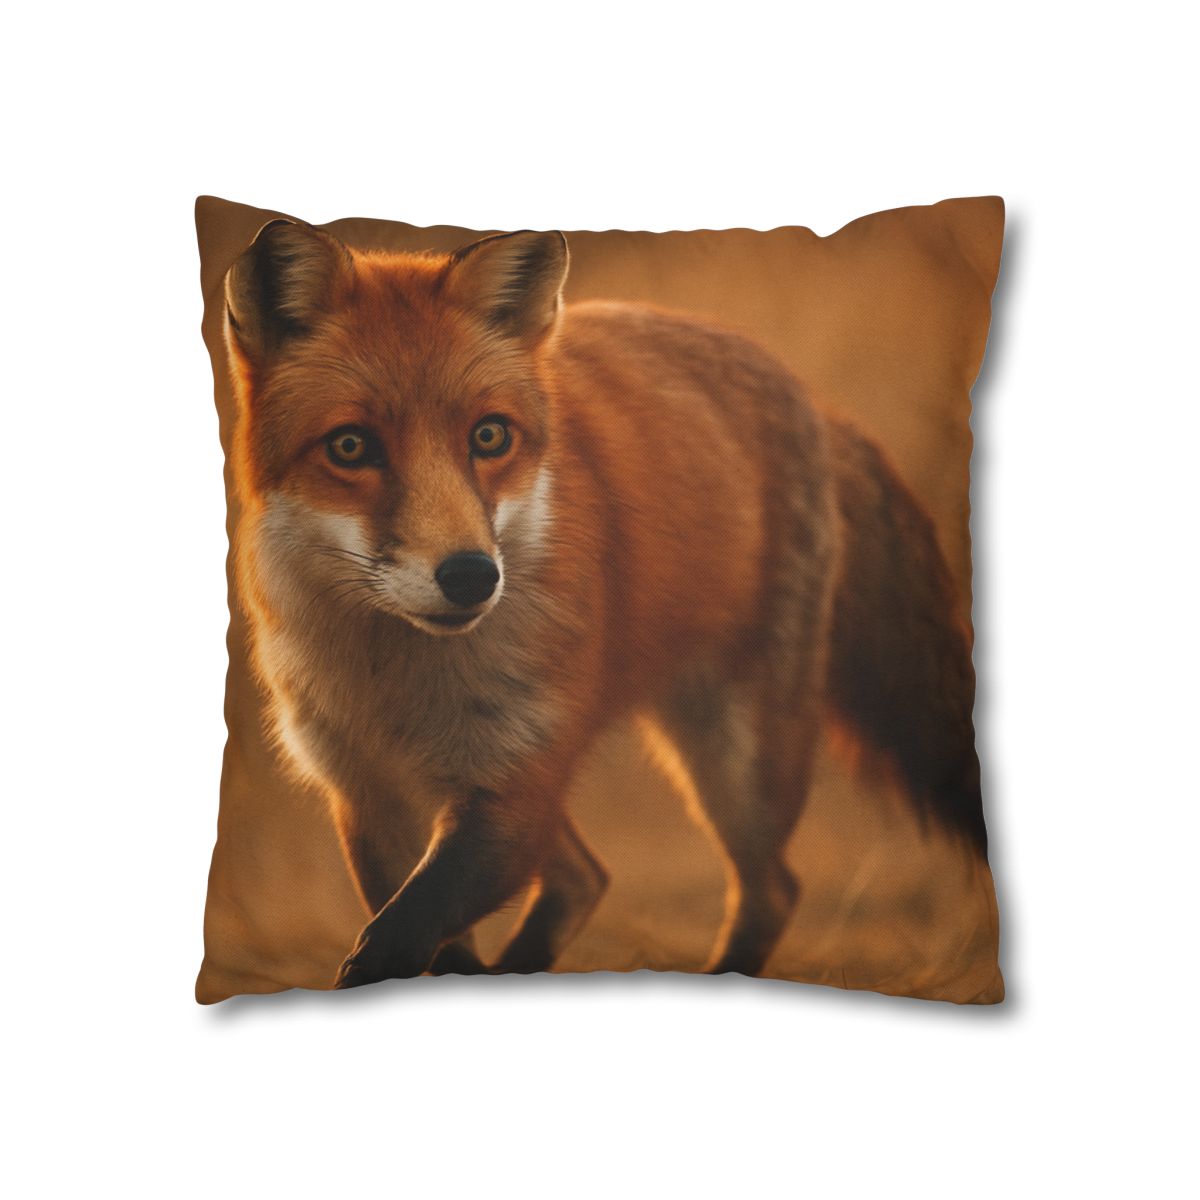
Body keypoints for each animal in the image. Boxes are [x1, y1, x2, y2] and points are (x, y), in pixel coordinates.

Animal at [223, 218, 987, 989]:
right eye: (350, 447)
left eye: (489, 436)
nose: (471, 577)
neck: (400, 682)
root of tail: (815, 401)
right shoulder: (369, 797)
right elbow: (421, 946)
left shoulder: (514, 787)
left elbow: (397, 936)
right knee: (585, 877)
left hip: (734, 762)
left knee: (767, 888)